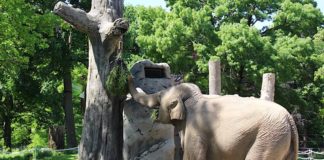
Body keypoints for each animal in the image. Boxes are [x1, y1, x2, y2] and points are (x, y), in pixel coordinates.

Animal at [127, 76, 298, 160]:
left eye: (159, 97)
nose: (123, 65)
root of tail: (290, 120)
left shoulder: (196, 130)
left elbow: (192, 157)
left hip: (268, 139)